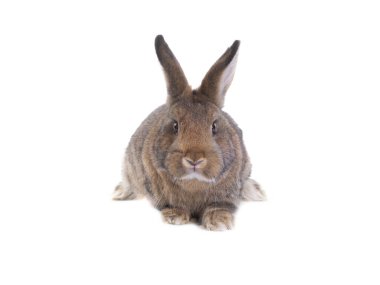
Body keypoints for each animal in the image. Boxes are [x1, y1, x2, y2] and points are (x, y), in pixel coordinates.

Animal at [113, 34, 264, 230]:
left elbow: (219, 207)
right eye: (175, 125)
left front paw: (219, 222)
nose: (194, 159)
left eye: (214, 126)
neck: (194, 183)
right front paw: (175, 217)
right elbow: (171, 206)